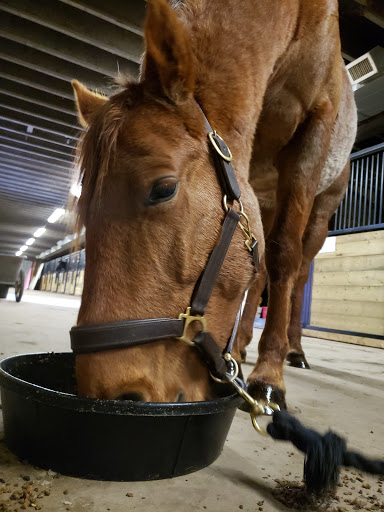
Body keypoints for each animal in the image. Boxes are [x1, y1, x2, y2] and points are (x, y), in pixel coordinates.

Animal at [71, 0, 356, 408]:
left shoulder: (313, 130)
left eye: (164, 189)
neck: (293, 21)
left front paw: (270, 375)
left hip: (319, 212)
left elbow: (284, 257)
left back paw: (294, 351)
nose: (113, 395)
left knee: (297, 272)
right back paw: (240, 348)